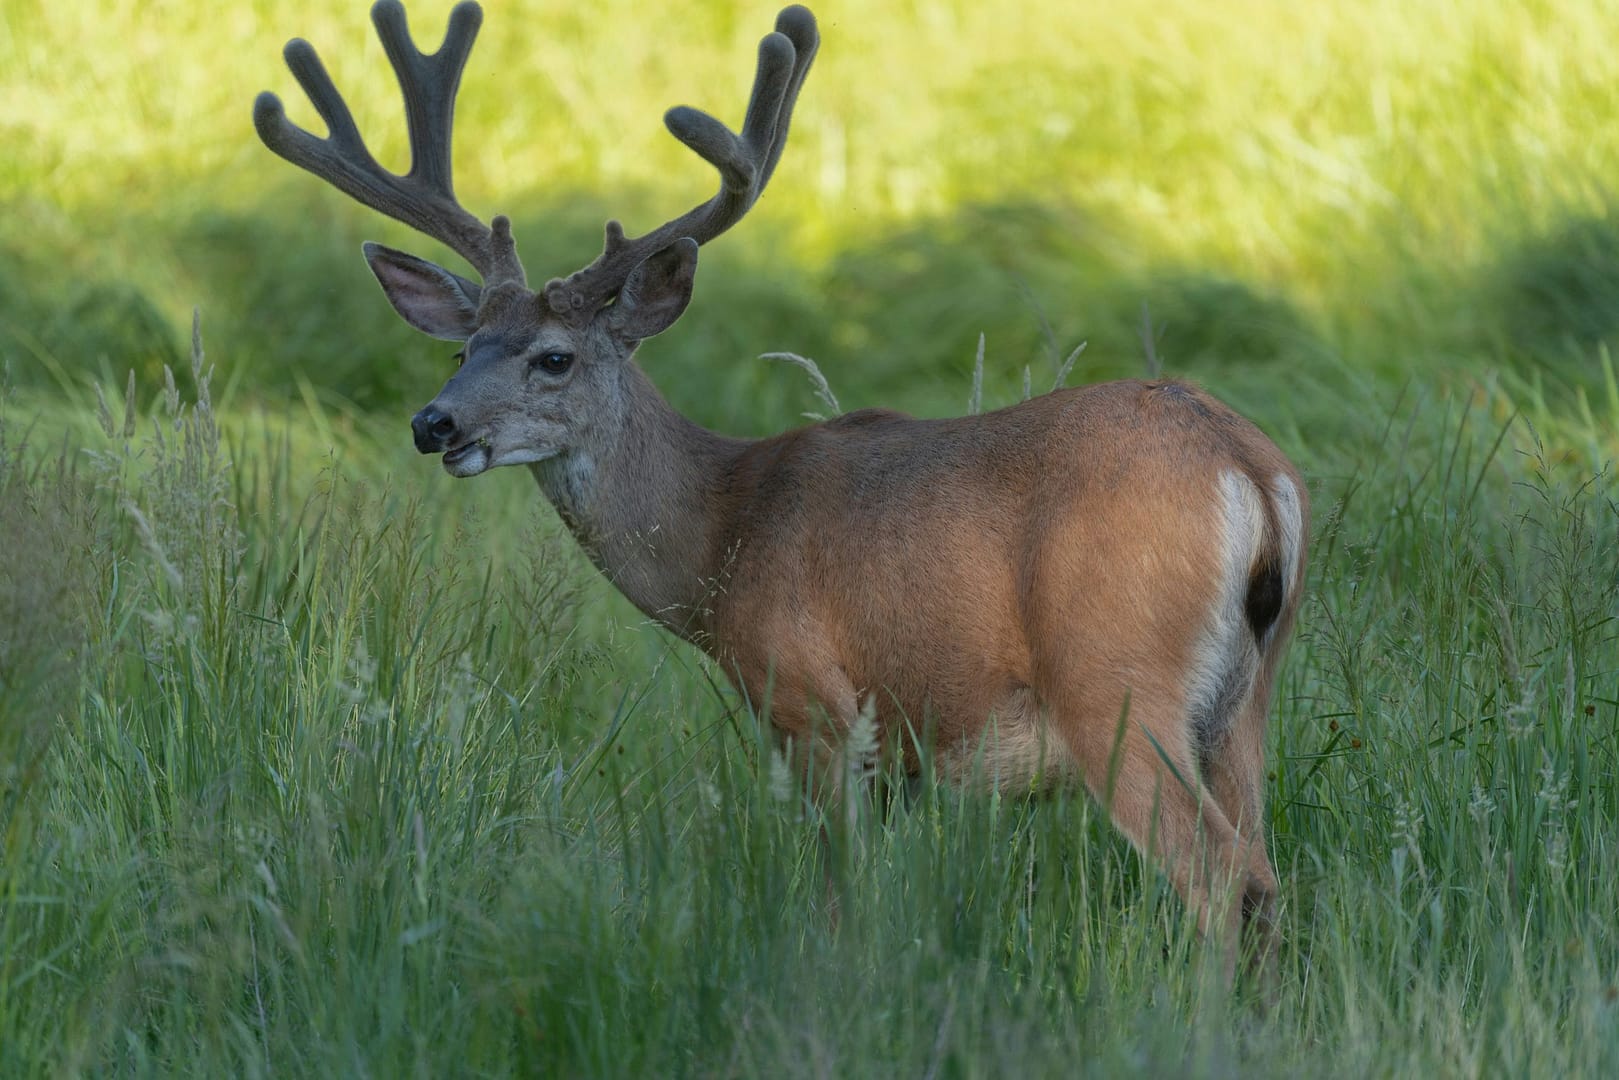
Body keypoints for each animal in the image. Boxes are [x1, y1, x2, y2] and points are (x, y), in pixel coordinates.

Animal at [255, 0, 1309, 984]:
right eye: (462, 350)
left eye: (553, 357)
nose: (434, 424)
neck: (722, 535)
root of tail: (1248, 468)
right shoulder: (898, 756)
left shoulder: (809, 703)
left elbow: (843, 903)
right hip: (1244, 698)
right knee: (1264, 875)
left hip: (1114, 679)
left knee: (1219, 876)